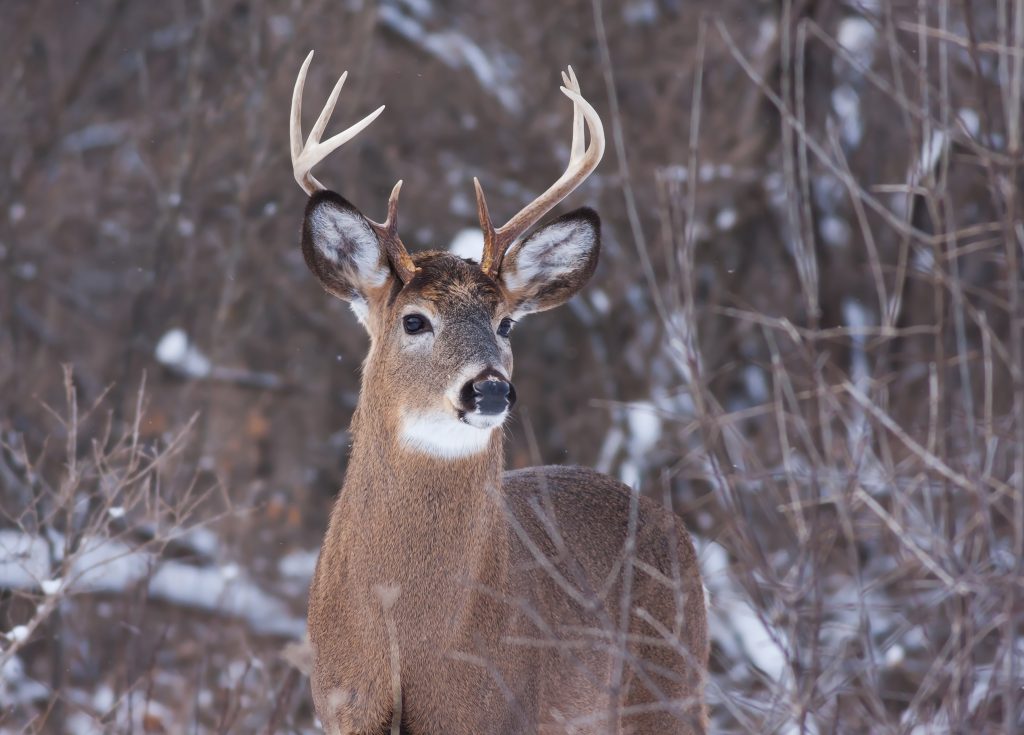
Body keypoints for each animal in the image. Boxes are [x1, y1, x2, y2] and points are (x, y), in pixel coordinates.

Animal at [289, 51, 708, 734]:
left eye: (506, 324)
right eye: (414, 321)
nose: (489, 390)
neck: (407, 640)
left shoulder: (500, 708)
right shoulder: (341, 708)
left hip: (669, 686)